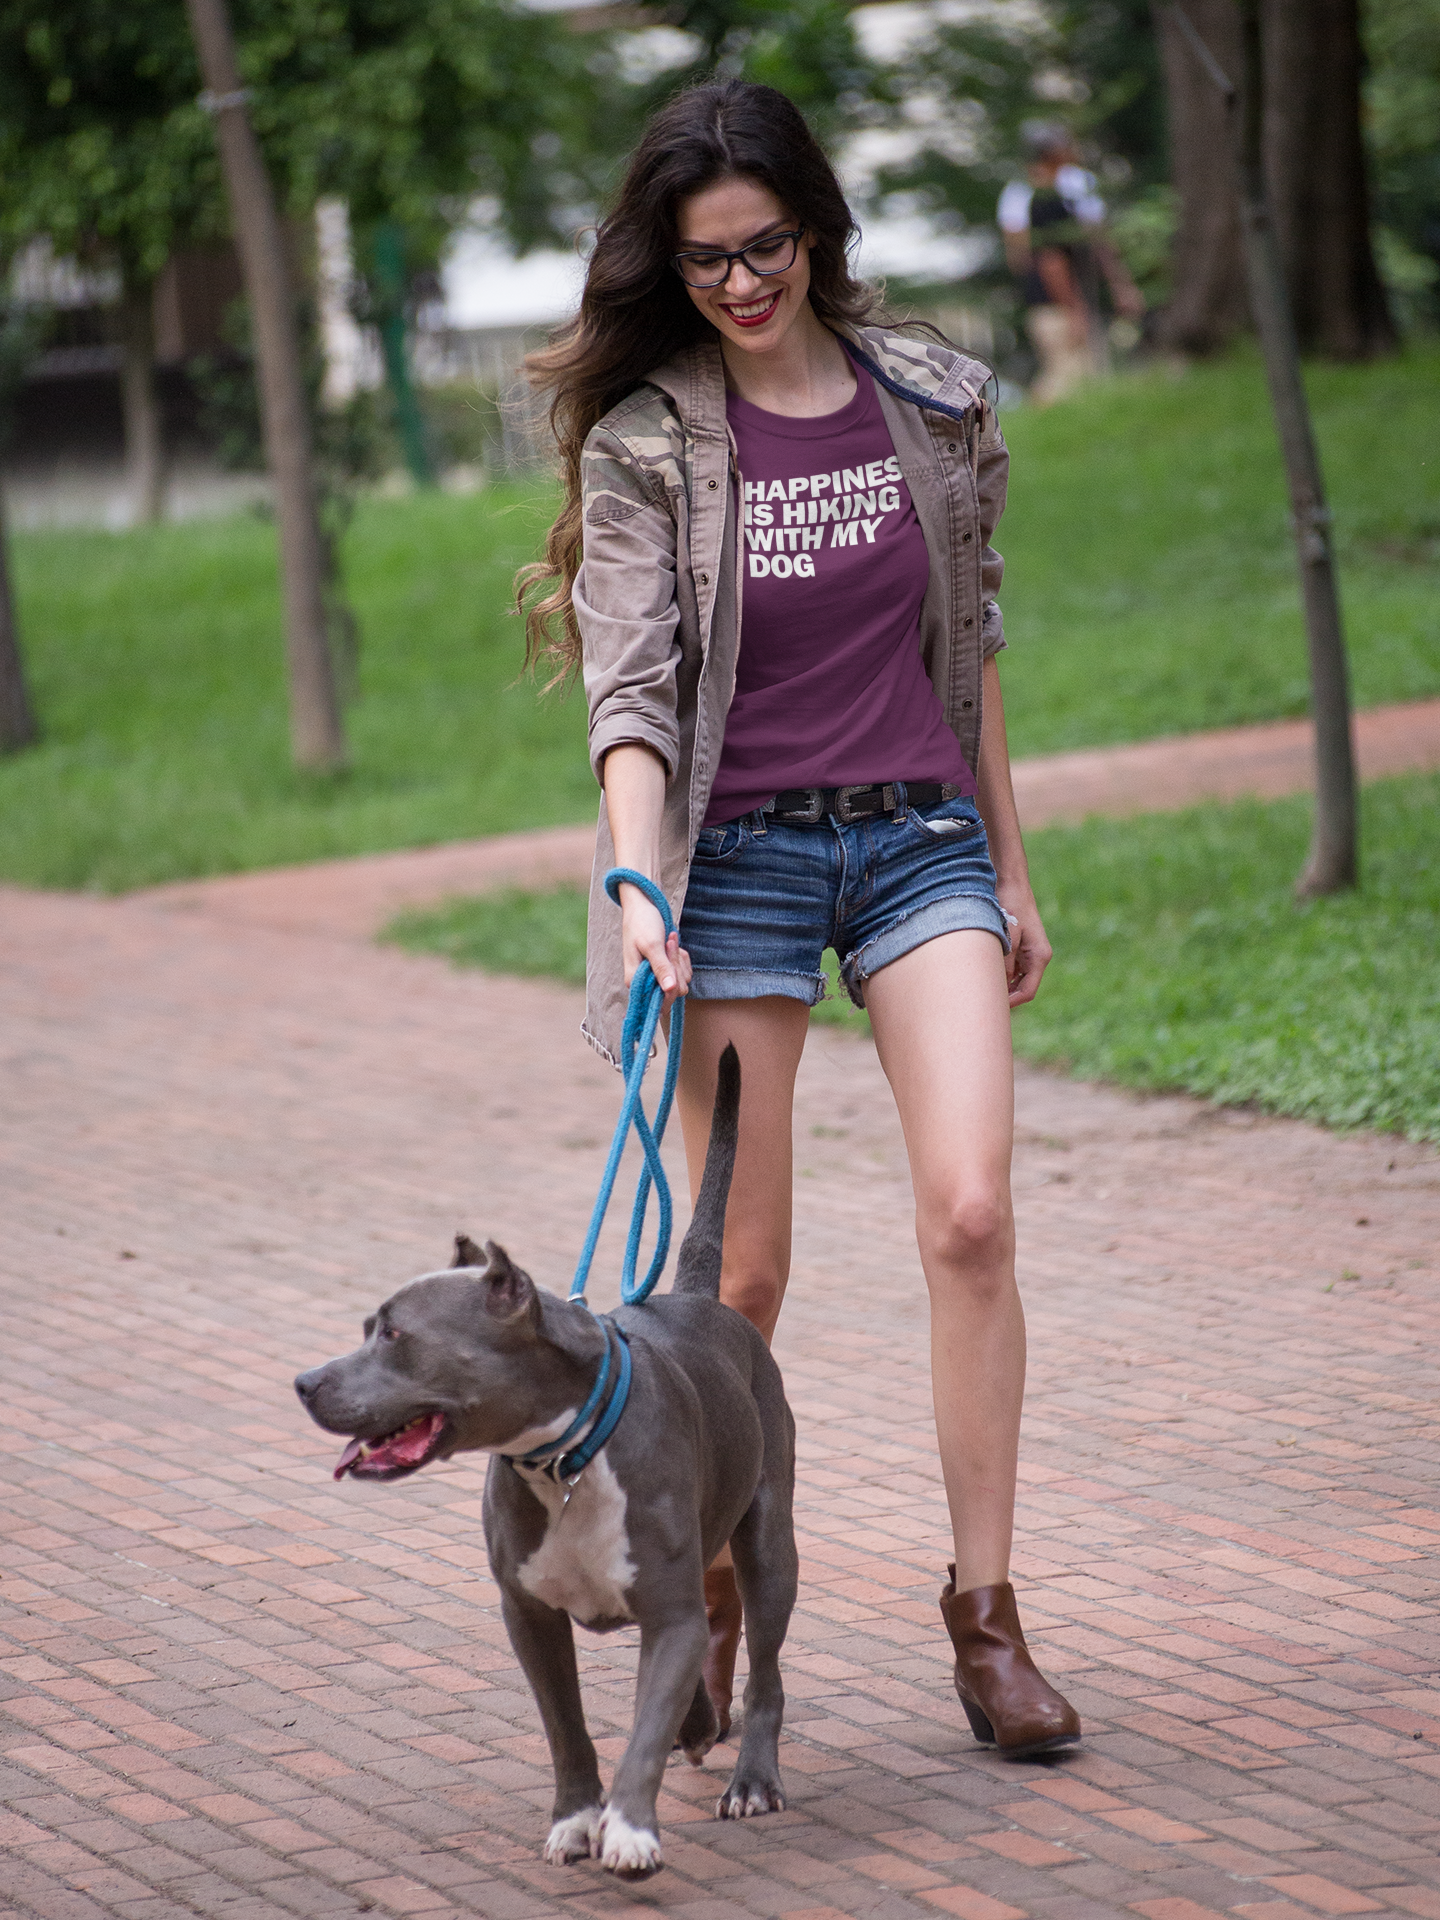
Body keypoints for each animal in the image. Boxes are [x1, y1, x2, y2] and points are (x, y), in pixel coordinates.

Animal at [293, 1052, 802, 1873]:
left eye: (395, 1334)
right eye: (368, 1326)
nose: (306, 1382)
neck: (564, 1459)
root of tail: (699, 1298)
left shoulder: (668, 1613)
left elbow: (645, 1732)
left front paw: (629, 1828)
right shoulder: (528, 1613)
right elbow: (567, 1725)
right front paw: (576, 1818)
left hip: (768, 1543)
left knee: (765, 1671)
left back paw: (754, 1779)